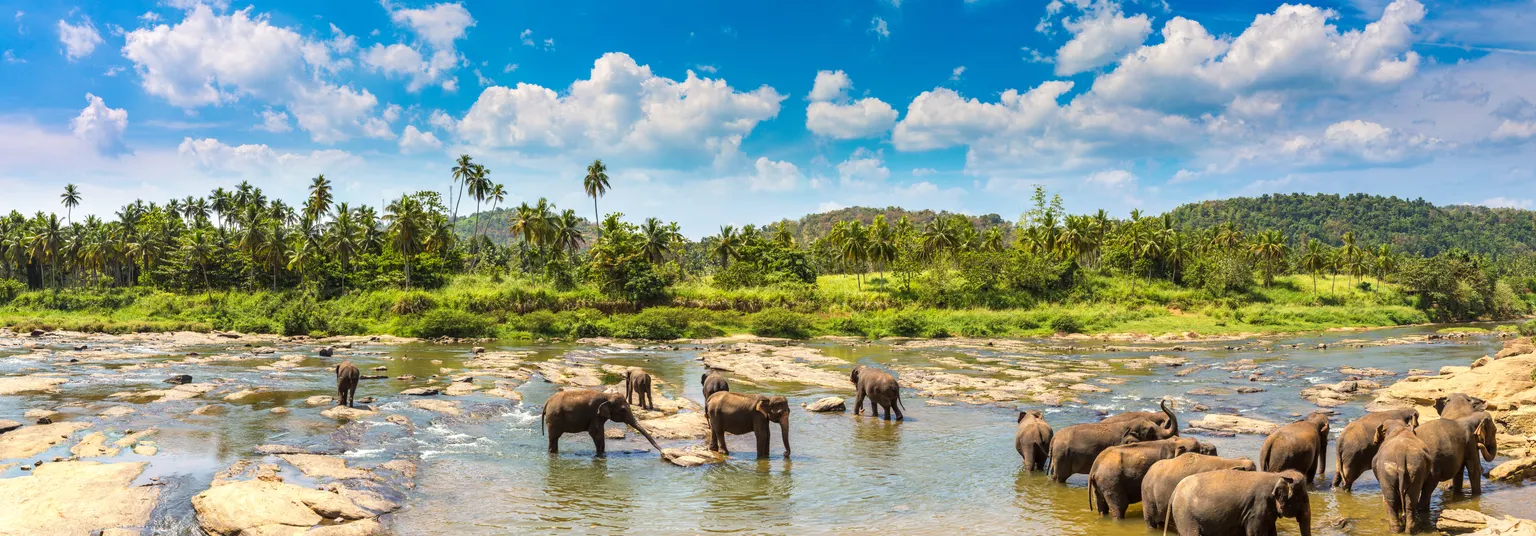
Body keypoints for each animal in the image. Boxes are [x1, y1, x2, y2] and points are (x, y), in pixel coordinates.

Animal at [1050, 402, 1179, 482]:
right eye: (1151, 433)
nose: (1163, 400)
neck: (1129, 424)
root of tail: (1054, 438)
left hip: (1058, 457)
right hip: (1062, 457)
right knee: (1059, 478)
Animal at [1087, 433, 1216, 519]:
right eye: (1202, 450)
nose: (1213, 448)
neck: (1175, 443)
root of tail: (1095, 466)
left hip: (1099, 484)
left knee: (1101, 507)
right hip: (1111, 481)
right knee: (1119, 507)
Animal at [1167, 466, 1314, 534]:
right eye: (1303, 498)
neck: (1278, 475)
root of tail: (1174, 492)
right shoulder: (1257, 509)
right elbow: (1255, 533)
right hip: (1185, 515)